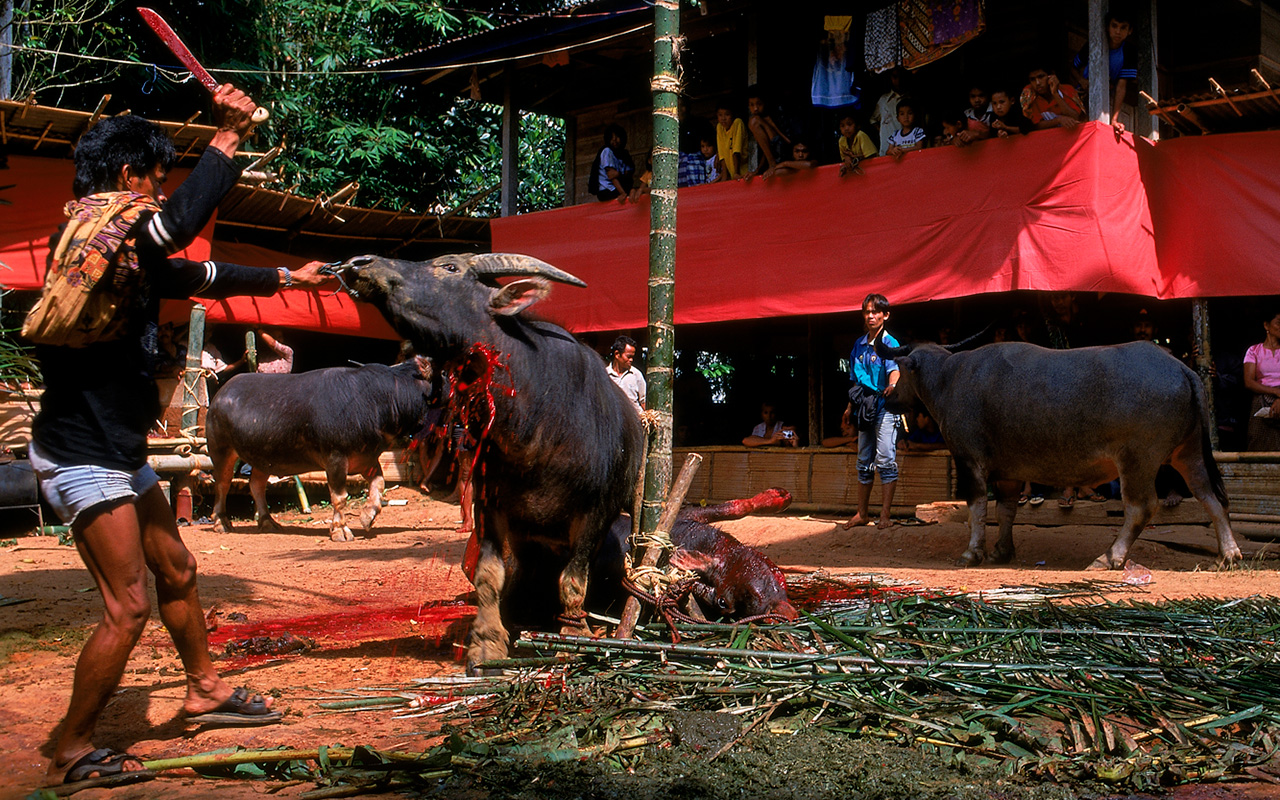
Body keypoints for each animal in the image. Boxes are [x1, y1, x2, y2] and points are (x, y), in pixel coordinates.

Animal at [206, 358, 435, 540]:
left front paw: (367, 517)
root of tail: (219, 395)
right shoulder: (335, 459)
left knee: (256, 485)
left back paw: (267, 522)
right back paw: (221, 523)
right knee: (222, 484)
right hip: (221, 450)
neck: (372, 400)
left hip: (262, 456)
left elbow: (379, 485)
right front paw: (340, 531)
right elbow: (340, 497)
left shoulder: (366, 459)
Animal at [335, 252, 645, 670]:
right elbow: (489, 574)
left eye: (449, 267)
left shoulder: (594, 513)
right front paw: (486, 642)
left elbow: (573, 582)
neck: (536, 419)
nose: (361, 262)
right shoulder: (490, 505)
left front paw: (572, 640)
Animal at [875, 337, 1244, 568]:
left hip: (1137, 460)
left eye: (900, 371)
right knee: (1211, 497)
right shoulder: (1008, 472)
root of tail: (1182, 368)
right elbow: (1006, 510)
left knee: (1141, 507)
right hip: (1189, 454)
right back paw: (1228, 554)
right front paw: (1002, 551)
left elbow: (977, 509)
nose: (887, 396)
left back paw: (1110, 557)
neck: (948, 378)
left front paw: (972, 553)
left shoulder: (970, 461)